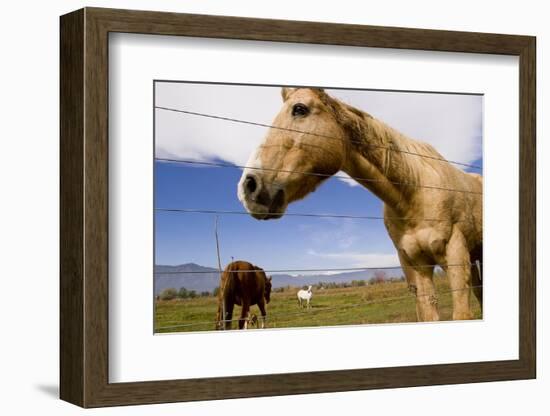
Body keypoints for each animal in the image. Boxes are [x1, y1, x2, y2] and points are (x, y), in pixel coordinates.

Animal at [237, 88, 484, 322]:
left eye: (299, 109)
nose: (248, 187)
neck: (414, 193)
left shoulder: (455, 258)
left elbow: (462, 314)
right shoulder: (416, 266)